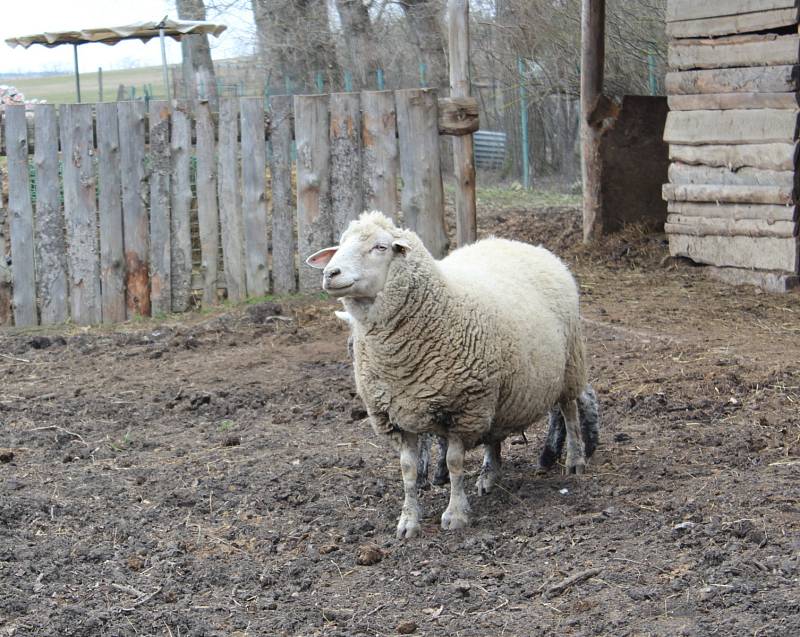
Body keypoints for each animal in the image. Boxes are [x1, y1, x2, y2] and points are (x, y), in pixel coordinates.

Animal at [310, 212, 596, 536]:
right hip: (497, 392)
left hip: (569, 365)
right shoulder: (397, 416)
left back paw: (575, 460)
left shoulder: (463, 409)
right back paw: (489, 476)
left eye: (380, 247)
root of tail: (521, 243)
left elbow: (454, 463)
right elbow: (407, 469)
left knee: (569, 410)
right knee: (495, 433)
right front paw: (408, 521)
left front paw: (455, 514)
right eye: (340, 245)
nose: (330, 273)